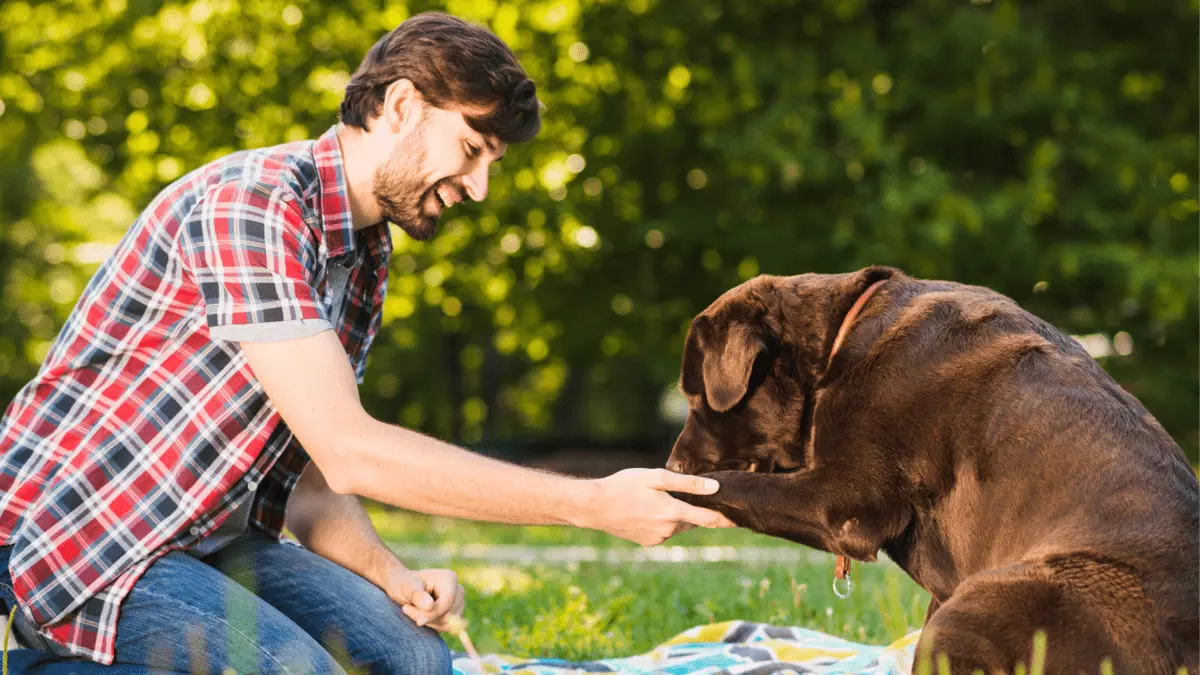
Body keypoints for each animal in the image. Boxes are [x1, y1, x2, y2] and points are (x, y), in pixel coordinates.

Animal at [667, 265, 1200, 672]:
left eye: (696, 397)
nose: (672, 461)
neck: (842, 334)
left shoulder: (841, 502)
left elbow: (729, 484)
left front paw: (665, 488)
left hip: (994, 595)